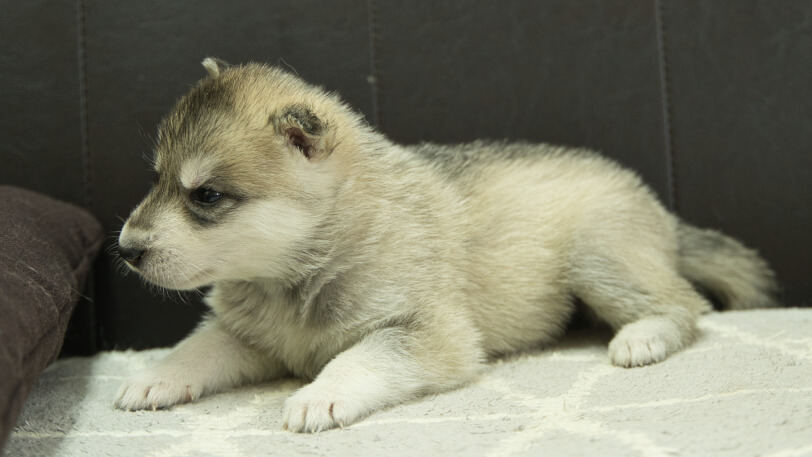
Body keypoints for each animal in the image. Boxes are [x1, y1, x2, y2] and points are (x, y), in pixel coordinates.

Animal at [116, 57, 780, 432]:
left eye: (206, 196)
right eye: (156, 178)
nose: (125, 249)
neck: (303, 268)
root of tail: (661, 212)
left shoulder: (428, 333)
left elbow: (359, 357)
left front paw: (321, 394)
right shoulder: (247, 336)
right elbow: (198, 347)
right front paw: (157, 377)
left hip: (596, 255)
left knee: (685, 304)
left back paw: (642, 337)